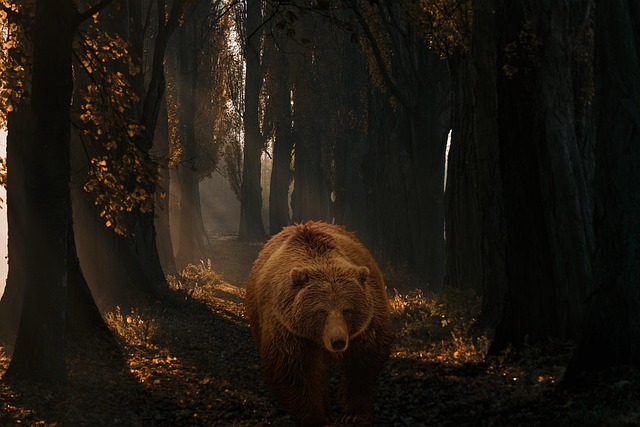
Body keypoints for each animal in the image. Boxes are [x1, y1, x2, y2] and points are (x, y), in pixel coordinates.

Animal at [245, 221, 393, 426]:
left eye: (347, 310)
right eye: (321, 311)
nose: (338, 341)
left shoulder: (367, 326)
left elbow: (363, 365)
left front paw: (353, 414)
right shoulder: (289, 330)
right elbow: (294, 371)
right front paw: (316, 417)